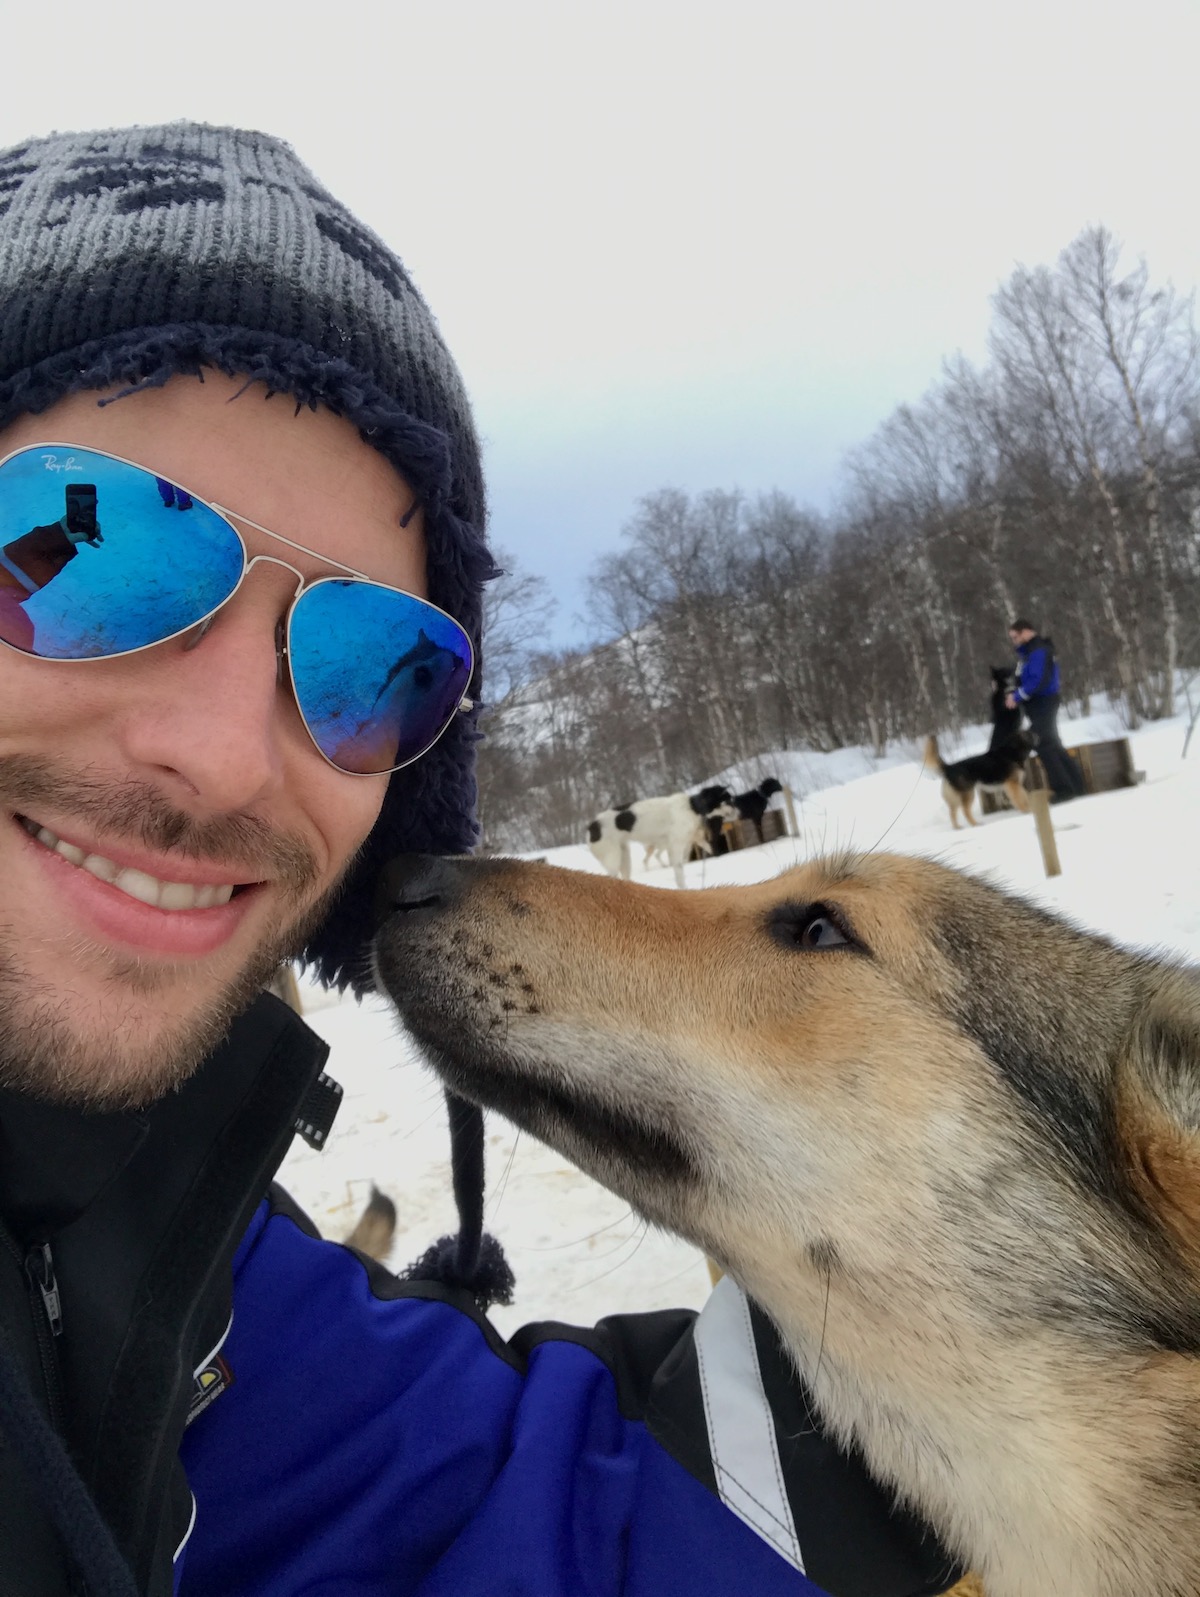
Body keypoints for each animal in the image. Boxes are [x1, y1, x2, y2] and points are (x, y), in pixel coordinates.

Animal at [588, 782, 738, 887]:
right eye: (728, 800)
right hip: (613, 860)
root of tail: (591, 826)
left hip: (625, 858)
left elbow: (711, 849)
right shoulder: (675, 847)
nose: (739, 810)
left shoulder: (694, 841)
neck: (692, 807)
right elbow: (679, 875)